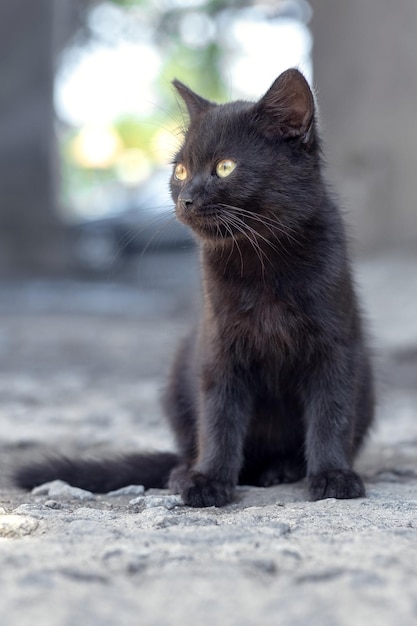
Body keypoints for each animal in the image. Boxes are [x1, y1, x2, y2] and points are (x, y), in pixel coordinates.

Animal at [15, 70, 374, 504]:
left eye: (225, 167)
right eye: (181, 171)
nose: (185, 198)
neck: (261, 259)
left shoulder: (336, 344)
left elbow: (331, 412)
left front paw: (333, 475)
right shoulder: (219, 347)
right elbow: (219, 416)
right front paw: (208, 479)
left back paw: (283, 469)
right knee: (193, 444)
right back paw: (185, 471)